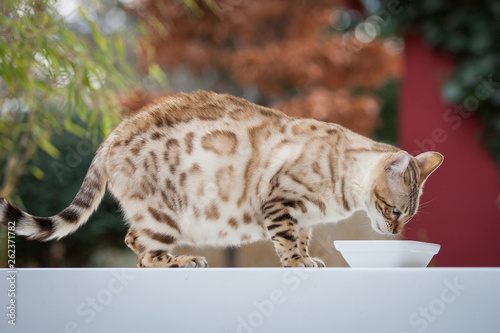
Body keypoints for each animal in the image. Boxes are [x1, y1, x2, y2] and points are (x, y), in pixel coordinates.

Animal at [0, 91, 444, 268]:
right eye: (395, 210)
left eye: (407, 216)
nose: (394, 231)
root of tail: (113, 134)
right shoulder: (280, 203)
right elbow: (288, 243)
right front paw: (300, 263)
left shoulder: (301, 217)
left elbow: (301, 238)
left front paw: (307, 257)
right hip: (164, 215)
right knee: (144, 253)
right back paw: (182, 261)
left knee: (133, 241)